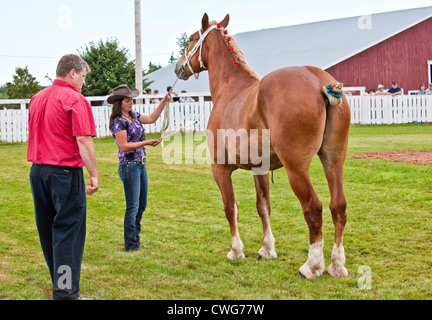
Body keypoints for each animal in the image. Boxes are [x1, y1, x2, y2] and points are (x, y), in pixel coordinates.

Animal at [176, 13, 352, 278]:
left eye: (191, 38)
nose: (178, 67)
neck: (230, 87)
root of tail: (320, 82)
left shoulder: (220, 169)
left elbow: (230, 207)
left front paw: (236, 251)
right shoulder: (260, 169)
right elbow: (263, 207)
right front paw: (267, 249)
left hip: (296, 169)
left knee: (313, 208)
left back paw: (312, 266)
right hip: (333, 159)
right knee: (338, 206)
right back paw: (336, 265)